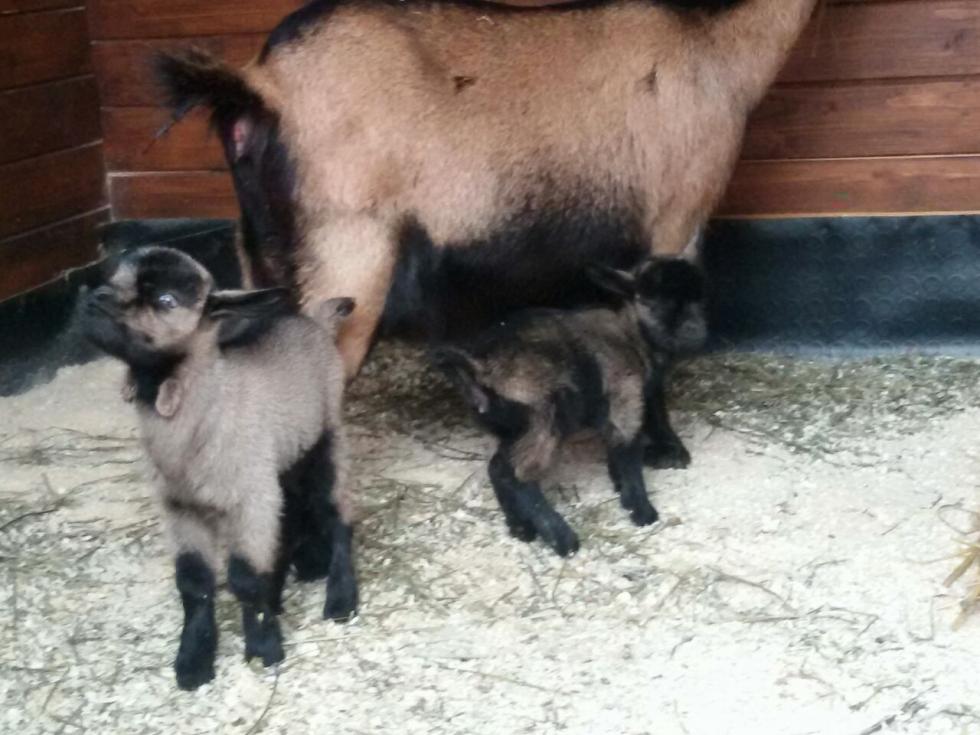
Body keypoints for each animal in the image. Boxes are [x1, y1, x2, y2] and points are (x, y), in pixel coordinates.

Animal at [81, 246, 357, 690]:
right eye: (114, 278)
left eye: (166, 300)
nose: (95, 299)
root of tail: (313, 320)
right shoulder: (181, 507)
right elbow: (193, 581)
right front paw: (193, 660)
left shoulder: (248, 498)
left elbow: (244, 577)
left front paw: (264, 649)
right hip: (282, 458)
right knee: (292, 514)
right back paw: (299, 575)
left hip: (326, 439)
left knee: (337, 514)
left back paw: (340, 599)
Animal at [432, 256, 706, 556]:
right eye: (654, 300)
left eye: (698, 299)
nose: (696, 332)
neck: (632, 337)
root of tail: (478, 369)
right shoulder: (625, 400)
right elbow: (628, 454)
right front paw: (641, 510)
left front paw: (622, 489)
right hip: (544, 418)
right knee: (516, 475)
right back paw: (562, 538)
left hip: (515, 429)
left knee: (497, 468)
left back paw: (521, 528)